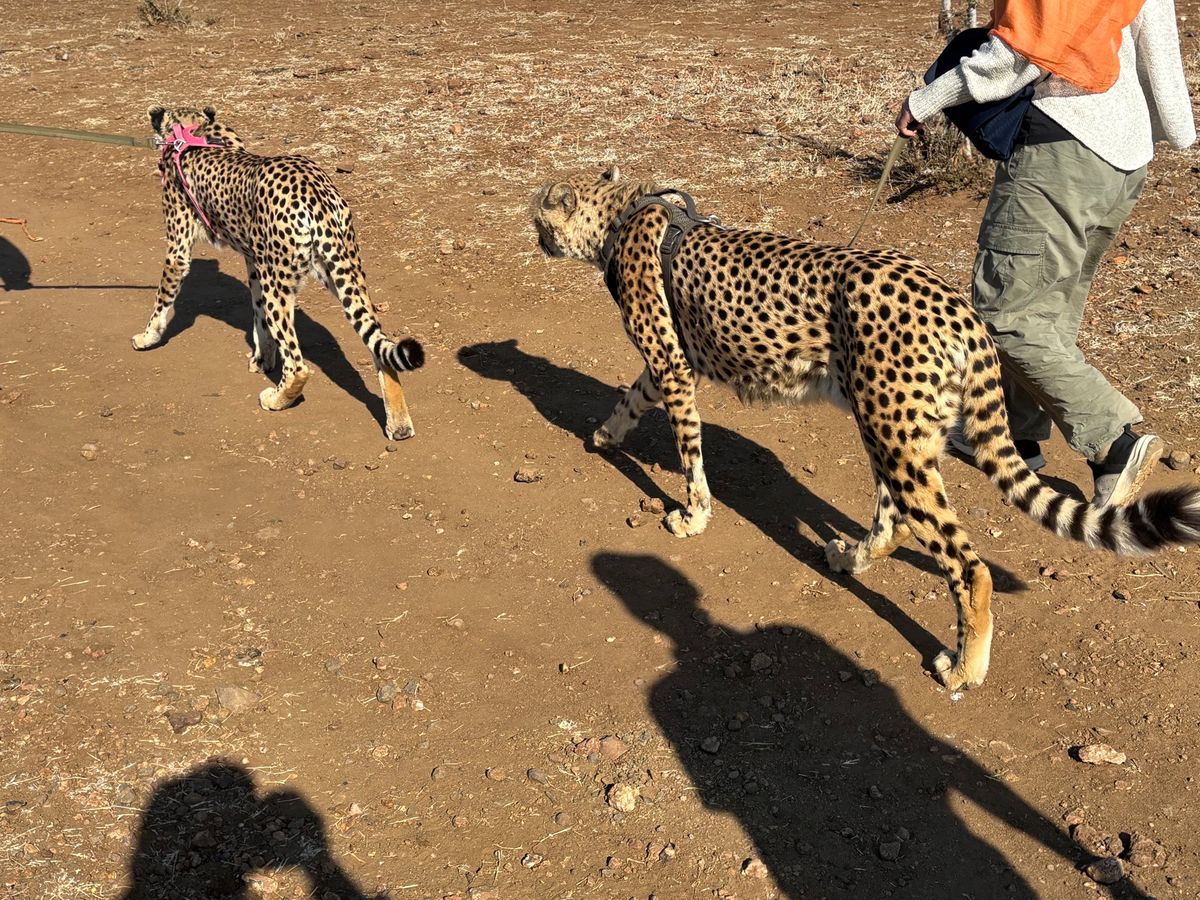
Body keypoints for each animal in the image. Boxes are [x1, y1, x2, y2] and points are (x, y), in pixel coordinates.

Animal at [133, 105, 424, 440]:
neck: (193, 131)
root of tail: (314, 189)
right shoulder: (255, 263)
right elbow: (258, 315)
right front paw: (263, 359)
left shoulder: (179, 251)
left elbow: (162, 300)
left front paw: (147, 337)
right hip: (341, 271)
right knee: (378, 345)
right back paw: (399, 424)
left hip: (283, 284)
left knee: (299, 366)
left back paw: (277, 398)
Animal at [532, 166, 1200, 692]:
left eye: (539, 209)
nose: (531, 233)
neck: (620, 215)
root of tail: (958, 305)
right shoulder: (667, 366)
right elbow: (630, 397)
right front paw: (604, 435)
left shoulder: (674, 366)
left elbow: (689, 451)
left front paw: (692, 515)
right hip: (895, 427)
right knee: (895, 519)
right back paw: (851, 557)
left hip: (893, 432)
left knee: (966, 563)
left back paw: (964, 667)